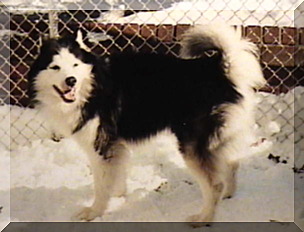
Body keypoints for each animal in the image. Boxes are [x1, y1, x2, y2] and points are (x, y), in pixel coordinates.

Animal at [28, 23, 266, 223]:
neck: (92, 88)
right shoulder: (116, 146)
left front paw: (95, 211)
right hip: (220, 137)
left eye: (75, 65)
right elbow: (116, 176)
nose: (71, 81)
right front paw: (118, 196)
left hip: (191, 145)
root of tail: (219, 68)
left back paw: (204, 218)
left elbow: (101, 185)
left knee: (214, 184)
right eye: (55, 67)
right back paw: (228, 193)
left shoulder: (101, 146)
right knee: (231, 163)